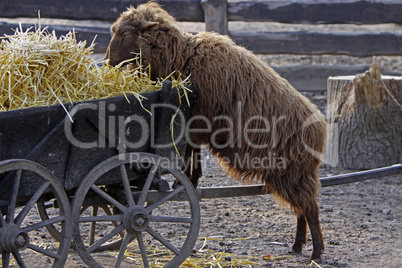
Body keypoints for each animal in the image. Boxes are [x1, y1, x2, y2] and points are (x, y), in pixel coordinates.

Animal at [106, 0, 326, 260]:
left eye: (126, 34)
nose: (107, 62)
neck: (182, 58)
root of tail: (320, 130)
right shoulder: (194, 121)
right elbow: (194, 150)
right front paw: (188, 180)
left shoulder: (197, 119)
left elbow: (190, 150)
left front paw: (185, 180)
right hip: (291, 174)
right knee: (301, 209)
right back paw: (298, 245)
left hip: (293, 171)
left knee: (310, 209)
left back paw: (316, 251)